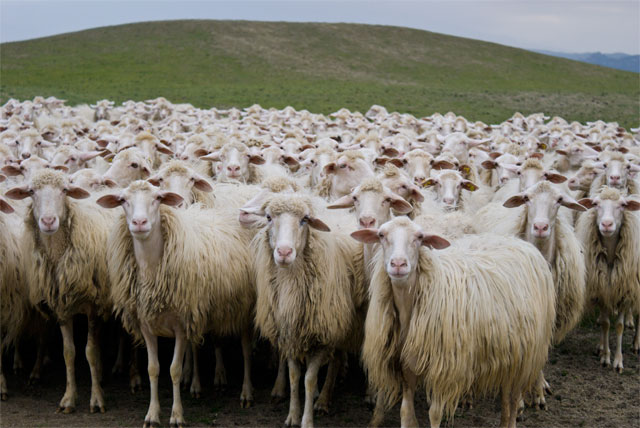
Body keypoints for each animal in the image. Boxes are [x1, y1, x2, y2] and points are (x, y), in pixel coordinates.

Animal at [5, 169, 115, 413]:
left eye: (65, 190)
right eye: (31, 191)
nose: (48, 221)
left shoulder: (93, 306)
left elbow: (89, 351)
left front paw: (96, 399)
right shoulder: (62, 306)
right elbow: (69, 352)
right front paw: (68, 399)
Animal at [97, 180, 256, 427]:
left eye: (158, 198)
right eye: (122, 200)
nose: (139, 223)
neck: (151, 271)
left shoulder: (181, 326)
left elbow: (174, 370)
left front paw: (177, 415)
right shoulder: (147, 326)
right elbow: (153, 369)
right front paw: (152, 415)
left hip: (245, 309)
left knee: (247, 351)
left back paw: (246, 393)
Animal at [243, 194, 366, 428]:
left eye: (305, 220)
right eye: (268, 217)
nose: (284, 252)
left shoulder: (322, 336)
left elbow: (309, 379)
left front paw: (307, 419)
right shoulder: (291, 334)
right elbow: (294, 376)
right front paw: (292, 415)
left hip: (341, 322)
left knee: (336, 361)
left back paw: (325, 399)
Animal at [351, 217, 555, 428]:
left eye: (420, 237)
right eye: (381, 235)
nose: (398, 264)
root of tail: (520, 242)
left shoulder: (443, 370)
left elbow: (434, 414)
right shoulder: (407, 366)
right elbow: (405, 412)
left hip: (526, 354)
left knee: (513, 398)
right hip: (509, 352)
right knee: (506, 396)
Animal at [575, 187, 640, 371]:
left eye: (623, 205)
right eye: (595, 204)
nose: (606, 224)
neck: (611, 256)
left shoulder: (626, 292)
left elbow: (619, 326)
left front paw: (618, 361)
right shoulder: (603, 290)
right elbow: (605, 324)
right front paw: (605, 355)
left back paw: (636, 344)